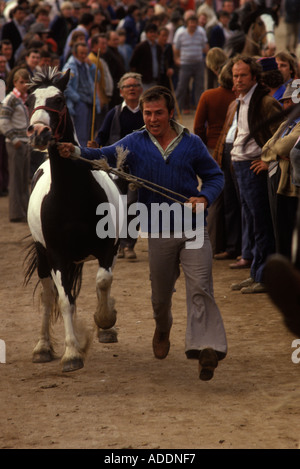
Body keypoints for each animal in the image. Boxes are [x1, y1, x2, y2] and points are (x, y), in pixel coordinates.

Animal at [24, 67, 125, 372]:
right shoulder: (57, 256)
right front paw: (71, 353)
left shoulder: (108, 248)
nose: (39, 132)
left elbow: (103, 281)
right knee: (49, 296)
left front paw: (105, 320)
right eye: (28, 101)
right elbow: (65, 301)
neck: (71, 196)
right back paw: (43, 347)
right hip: (43, 257)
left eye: (58, 99)